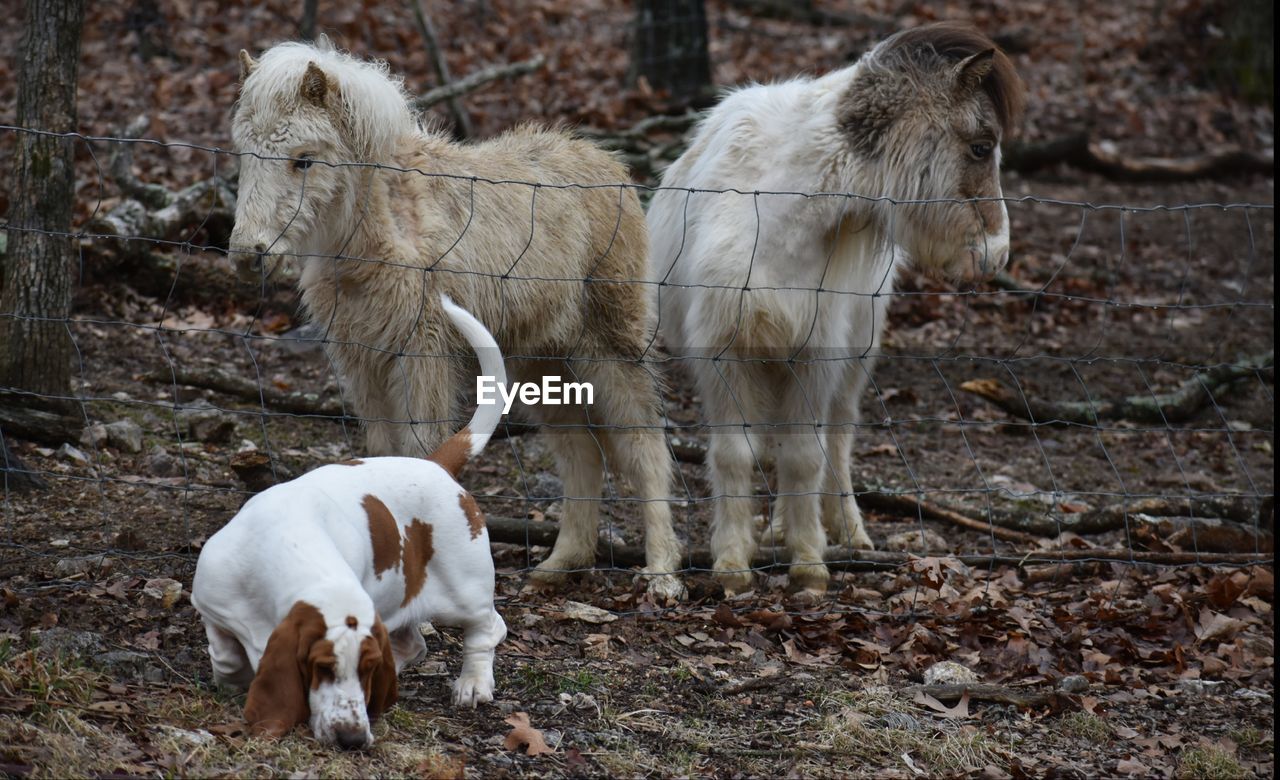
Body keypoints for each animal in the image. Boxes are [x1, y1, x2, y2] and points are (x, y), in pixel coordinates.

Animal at [192, 294, 506, 742]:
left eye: (367, 670)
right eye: (321, 667)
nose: (353, 738)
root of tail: (437, 465)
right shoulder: (212, 605)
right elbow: (225, 653)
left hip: (464, 591)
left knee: (488, 628)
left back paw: (473, 683)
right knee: (415, 644)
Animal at [230, 39, 691, 599]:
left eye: (303, 160)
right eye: (244, 153)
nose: (248, 254)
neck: (379, 234)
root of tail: (610, 164)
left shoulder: (423, 353)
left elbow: (420, 446)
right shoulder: (362, 361)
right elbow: (382, 447)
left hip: (611, 342)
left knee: (645, 444)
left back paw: (663, 576)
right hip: (542, 360)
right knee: (581, 451)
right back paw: (558, 567)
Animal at [645, 24, 1024, 596]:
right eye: (981, 147)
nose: (996, 255)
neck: (779, 217)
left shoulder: (815, 358)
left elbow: (807, 456)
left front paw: (808, 563)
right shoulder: (727, 358)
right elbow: (736, 454)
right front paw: (733, 564)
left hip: (854, 357)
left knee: (838, 437)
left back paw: (846, 530)